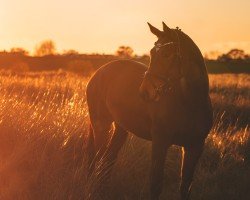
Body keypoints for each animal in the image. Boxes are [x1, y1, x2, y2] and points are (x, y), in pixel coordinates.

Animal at [86, 22, 213, 200]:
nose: (145, 92)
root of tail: (99, 71)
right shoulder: (160, 142)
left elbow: (185, 187)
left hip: (121, 128)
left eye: (167, 54)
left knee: (108, 160)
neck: (191, 103)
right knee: (99, 159)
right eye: (152, 52)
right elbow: (156, 184)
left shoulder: (195, 146)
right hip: (101, 125)